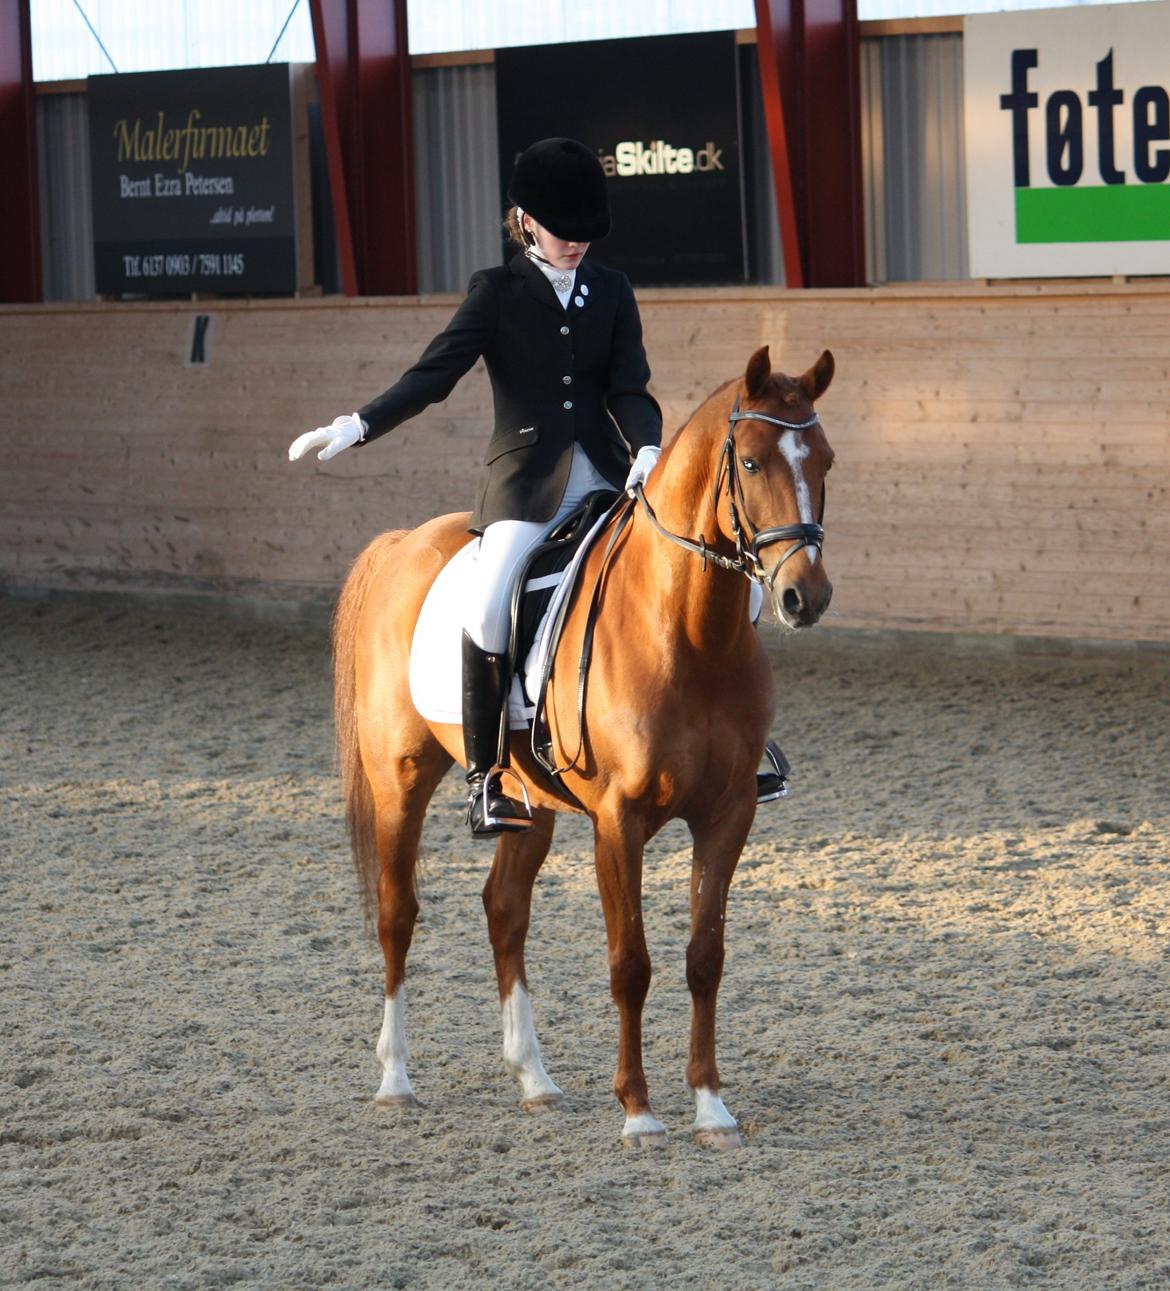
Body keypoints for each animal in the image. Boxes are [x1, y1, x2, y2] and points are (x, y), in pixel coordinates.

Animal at [331, 344, 836, 1149]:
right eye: (753, 462)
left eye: (825, 461)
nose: (803, 597)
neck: (689, 630)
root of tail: (403, 543)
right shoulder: (618, 821)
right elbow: (631, 962)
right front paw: (639, 1112)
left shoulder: (729, 815)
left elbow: (705, 958)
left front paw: (711, 1107)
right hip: (398, 776)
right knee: (396, 911)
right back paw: (395, 1080)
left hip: (527, 800)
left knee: (504, 908)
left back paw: (534, 1079)